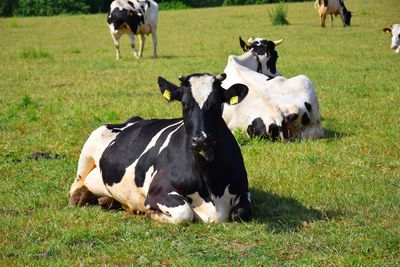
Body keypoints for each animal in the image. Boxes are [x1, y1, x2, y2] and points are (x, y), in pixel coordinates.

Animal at [68, 73, 250, 224]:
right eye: (184, 104)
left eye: (217, 104)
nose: (200, 140)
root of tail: (134, 119)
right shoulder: (157, 191)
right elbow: (184, 213)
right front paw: (151, 213)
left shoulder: (243, 190)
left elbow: (241, 212)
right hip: (88, 149)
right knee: (76, 187)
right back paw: (81, 197)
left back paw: (108, 201)